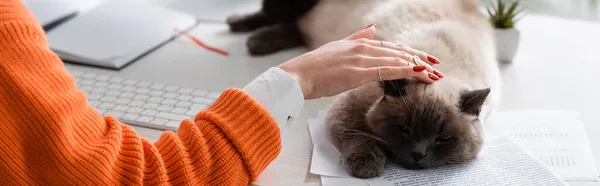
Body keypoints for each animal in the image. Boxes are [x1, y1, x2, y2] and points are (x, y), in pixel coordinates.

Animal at [229, 0, 502, 178]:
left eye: (443, 138)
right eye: (404, 129)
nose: (418, 154)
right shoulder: (348, 108)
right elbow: (358, 135)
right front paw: (367, 165)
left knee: (296, 28)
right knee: (280, 18)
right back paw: (244, 31)